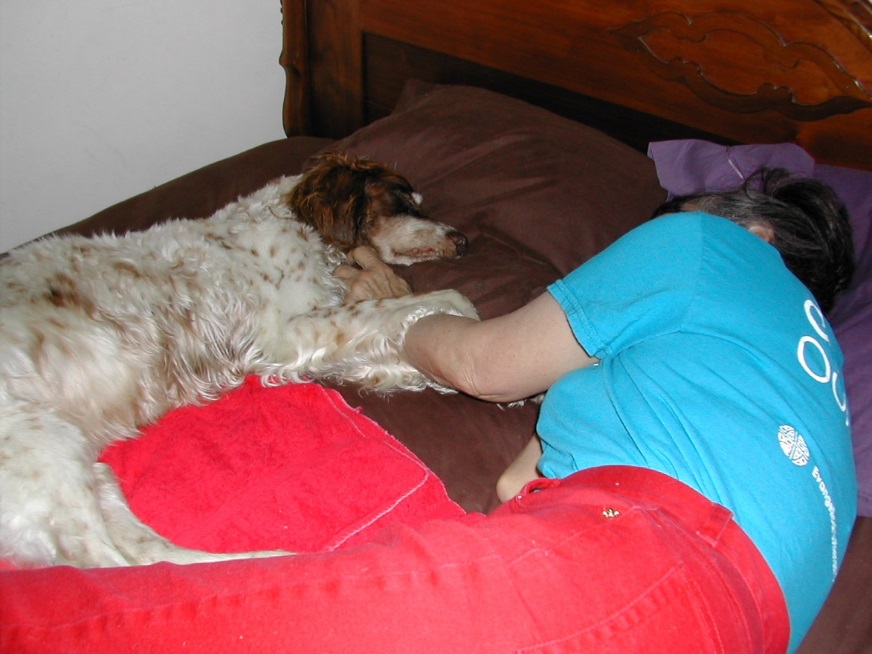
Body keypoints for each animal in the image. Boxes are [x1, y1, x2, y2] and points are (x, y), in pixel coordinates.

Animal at [0, 152, 476, 568]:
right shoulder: (286, 333)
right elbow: (431, 301)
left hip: (88, 468)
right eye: (403, 202)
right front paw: (465, 319)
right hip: (46, 453)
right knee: (108, 566)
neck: (292, 223)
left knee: (148, 556)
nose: (464, 240)